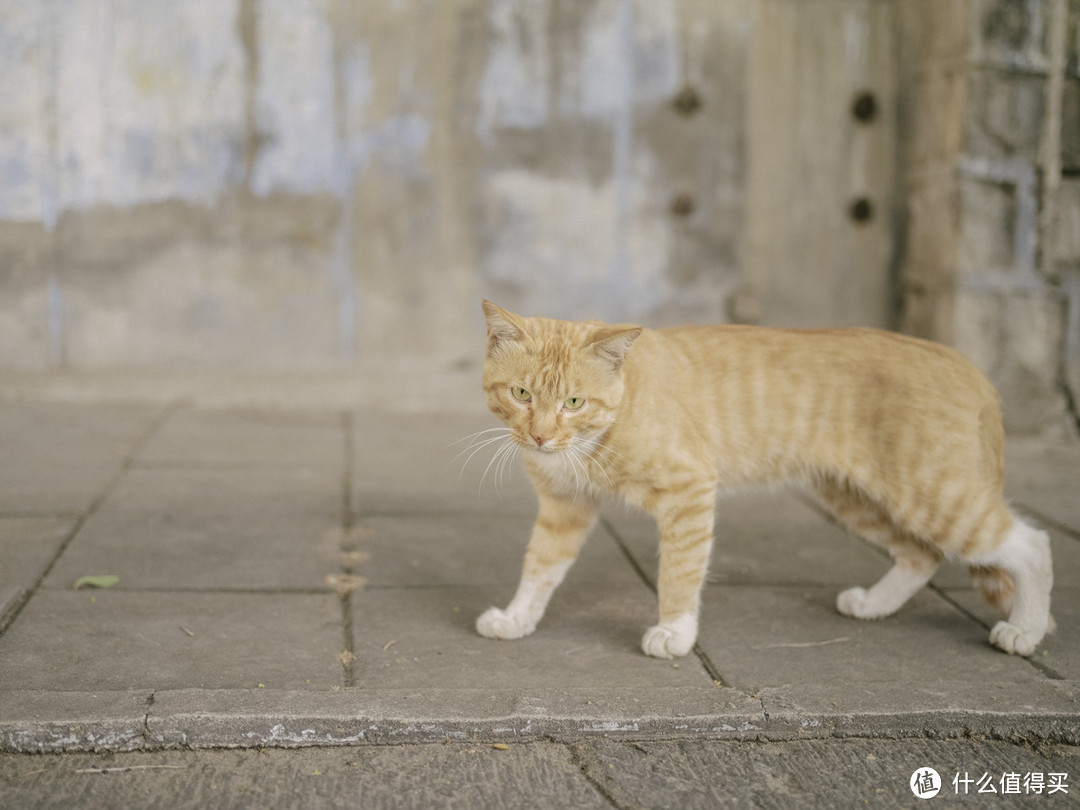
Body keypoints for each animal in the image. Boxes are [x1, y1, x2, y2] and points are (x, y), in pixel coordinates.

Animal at [477, 302, 1049, 660]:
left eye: (574, 402)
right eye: (522, 394)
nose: (541, 437)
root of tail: (960, 360)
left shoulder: (689, 491)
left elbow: (680, 572)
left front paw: (674, 632)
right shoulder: (564, 506)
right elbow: (540, 567)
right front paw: (517, 618)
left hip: (934, 493)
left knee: (1029, 543)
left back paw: (1025, 629)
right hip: (855, 496)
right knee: (920, 553)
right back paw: (874, 605)